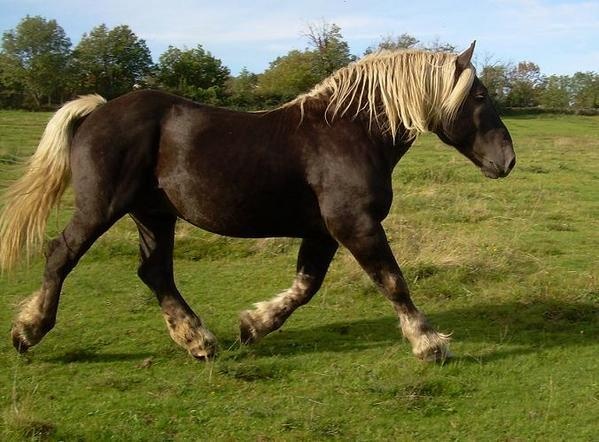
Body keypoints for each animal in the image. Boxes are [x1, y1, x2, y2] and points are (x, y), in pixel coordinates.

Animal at [0, 41, 516, 360]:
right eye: (481, 95)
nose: (507, 160)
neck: (347, 131)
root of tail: (98, 110)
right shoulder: (355, 224)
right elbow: (392, 281)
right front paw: (429, 343)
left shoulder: (324, 230)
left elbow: (306, 286)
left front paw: (253, 325)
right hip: (101, 207)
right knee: (61, 255)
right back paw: (28, 331)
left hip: (153, 215)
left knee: (155, 272)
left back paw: (199, 340)